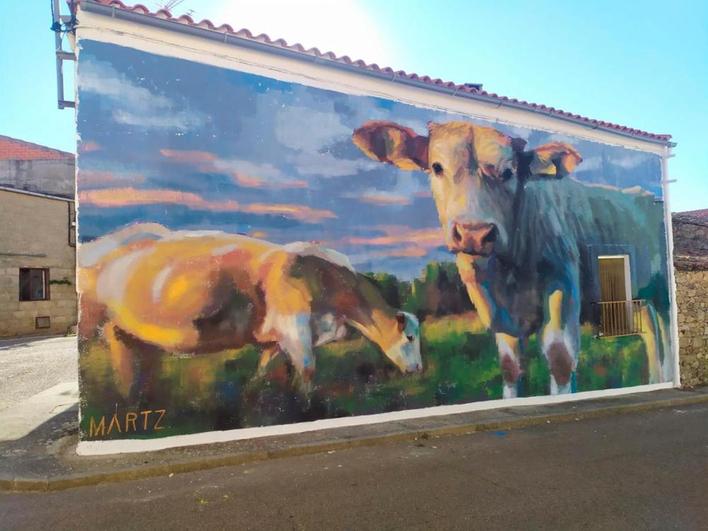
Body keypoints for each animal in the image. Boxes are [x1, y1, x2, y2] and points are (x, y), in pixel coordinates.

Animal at [79, 222, 420, 396]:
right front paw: (307, 407)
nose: (418, 369)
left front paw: (252, 397)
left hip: (126, 333)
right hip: (91, 324)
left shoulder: (275, 339)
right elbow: (308, 371)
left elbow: (262, 371)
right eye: (410, 338)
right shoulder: (294, 329)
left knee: (130, 370)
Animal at [354, 119, 668, 394]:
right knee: (650, 331)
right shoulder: (499, 313)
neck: (507, 269)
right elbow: (509, 366)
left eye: (508, 172)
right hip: (639, 295)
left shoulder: (562, 279)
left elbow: (560, 358)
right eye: (436, 167)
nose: (474, 233)